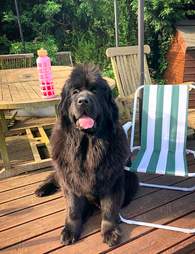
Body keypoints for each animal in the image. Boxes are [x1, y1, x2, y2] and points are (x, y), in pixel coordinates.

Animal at [35, 64, 139, 247]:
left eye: (95, 91)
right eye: (75, 92)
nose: (83, 100)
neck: (88, 145)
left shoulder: (113, 179)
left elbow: (109, 208)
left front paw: (109, 231)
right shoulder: (69, 178)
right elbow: (73, 208)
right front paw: (70, 230)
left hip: (132, 179)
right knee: (54, 176)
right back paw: (42, 188)